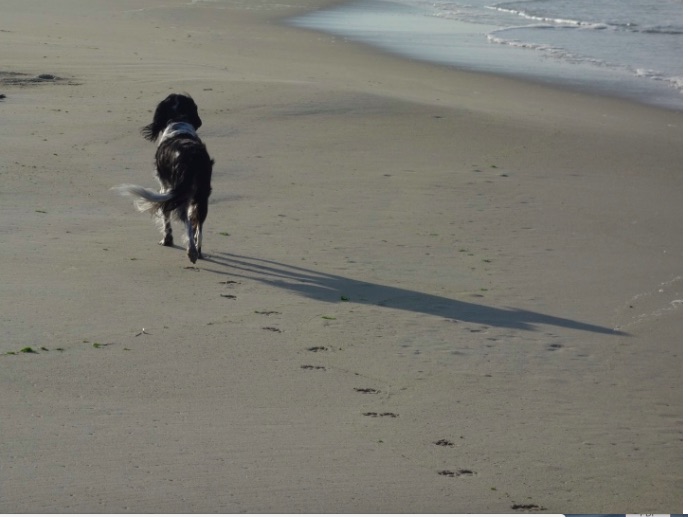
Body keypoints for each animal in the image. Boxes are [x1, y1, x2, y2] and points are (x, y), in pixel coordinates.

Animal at [114, 92, 214, 262]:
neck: (179, 123)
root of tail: (193, 155)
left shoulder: (165, 188)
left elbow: (166, 218)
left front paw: (167, 240)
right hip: (201, 195)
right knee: (198, 225)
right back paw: (198, 251)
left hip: (179, 193)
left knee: (186, 221)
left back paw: (191, 251)